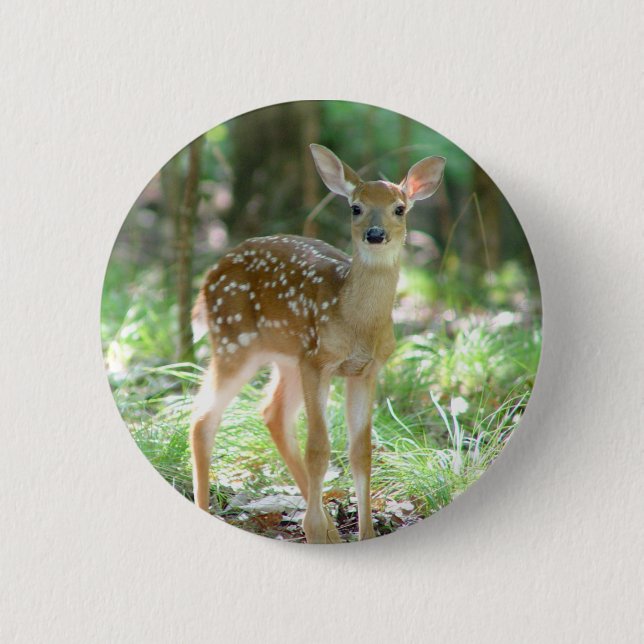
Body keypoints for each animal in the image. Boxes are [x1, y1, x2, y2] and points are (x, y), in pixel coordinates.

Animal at [189, 144, 445, 543]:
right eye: (355, 206)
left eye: (399, 208)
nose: (375, 234)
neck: (354, 321)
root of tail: (208, 278)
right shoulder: (318, 360)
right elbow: (319, 449)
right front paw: (309, 528)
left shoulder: (366, 370)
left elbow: (361, 451)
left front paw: (364, 534)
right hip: (235, 341)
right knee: (203, 417)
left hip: (285, 357)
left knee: (272, 413)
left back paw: (331, 532)